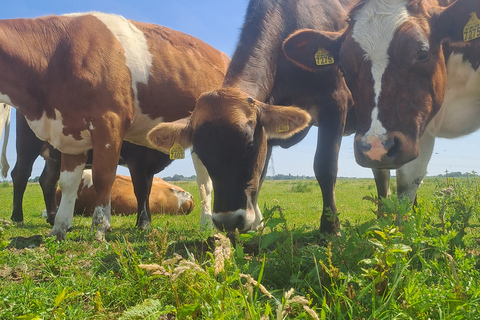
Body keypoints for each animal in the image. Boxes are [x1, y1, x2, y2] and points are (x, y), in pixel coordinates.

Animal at [0, 11, 229, 240]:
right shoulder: (72, 132)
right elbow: (68, 182)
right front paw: (60, 227)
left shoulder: (108, 124)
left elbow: (107, 178)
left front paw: (100, 227)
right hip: (29, 144)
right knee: (29, 175)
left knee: (206, 183)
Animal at [148, 0, 354, 235]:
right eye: (200, 152)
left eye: (249, 145)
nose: (228, 221)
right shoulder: (268, 131)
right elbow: (261, 175)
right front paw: (257, 225)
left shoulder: (336, 100)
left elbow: (325, 166)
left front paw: (331, 228)